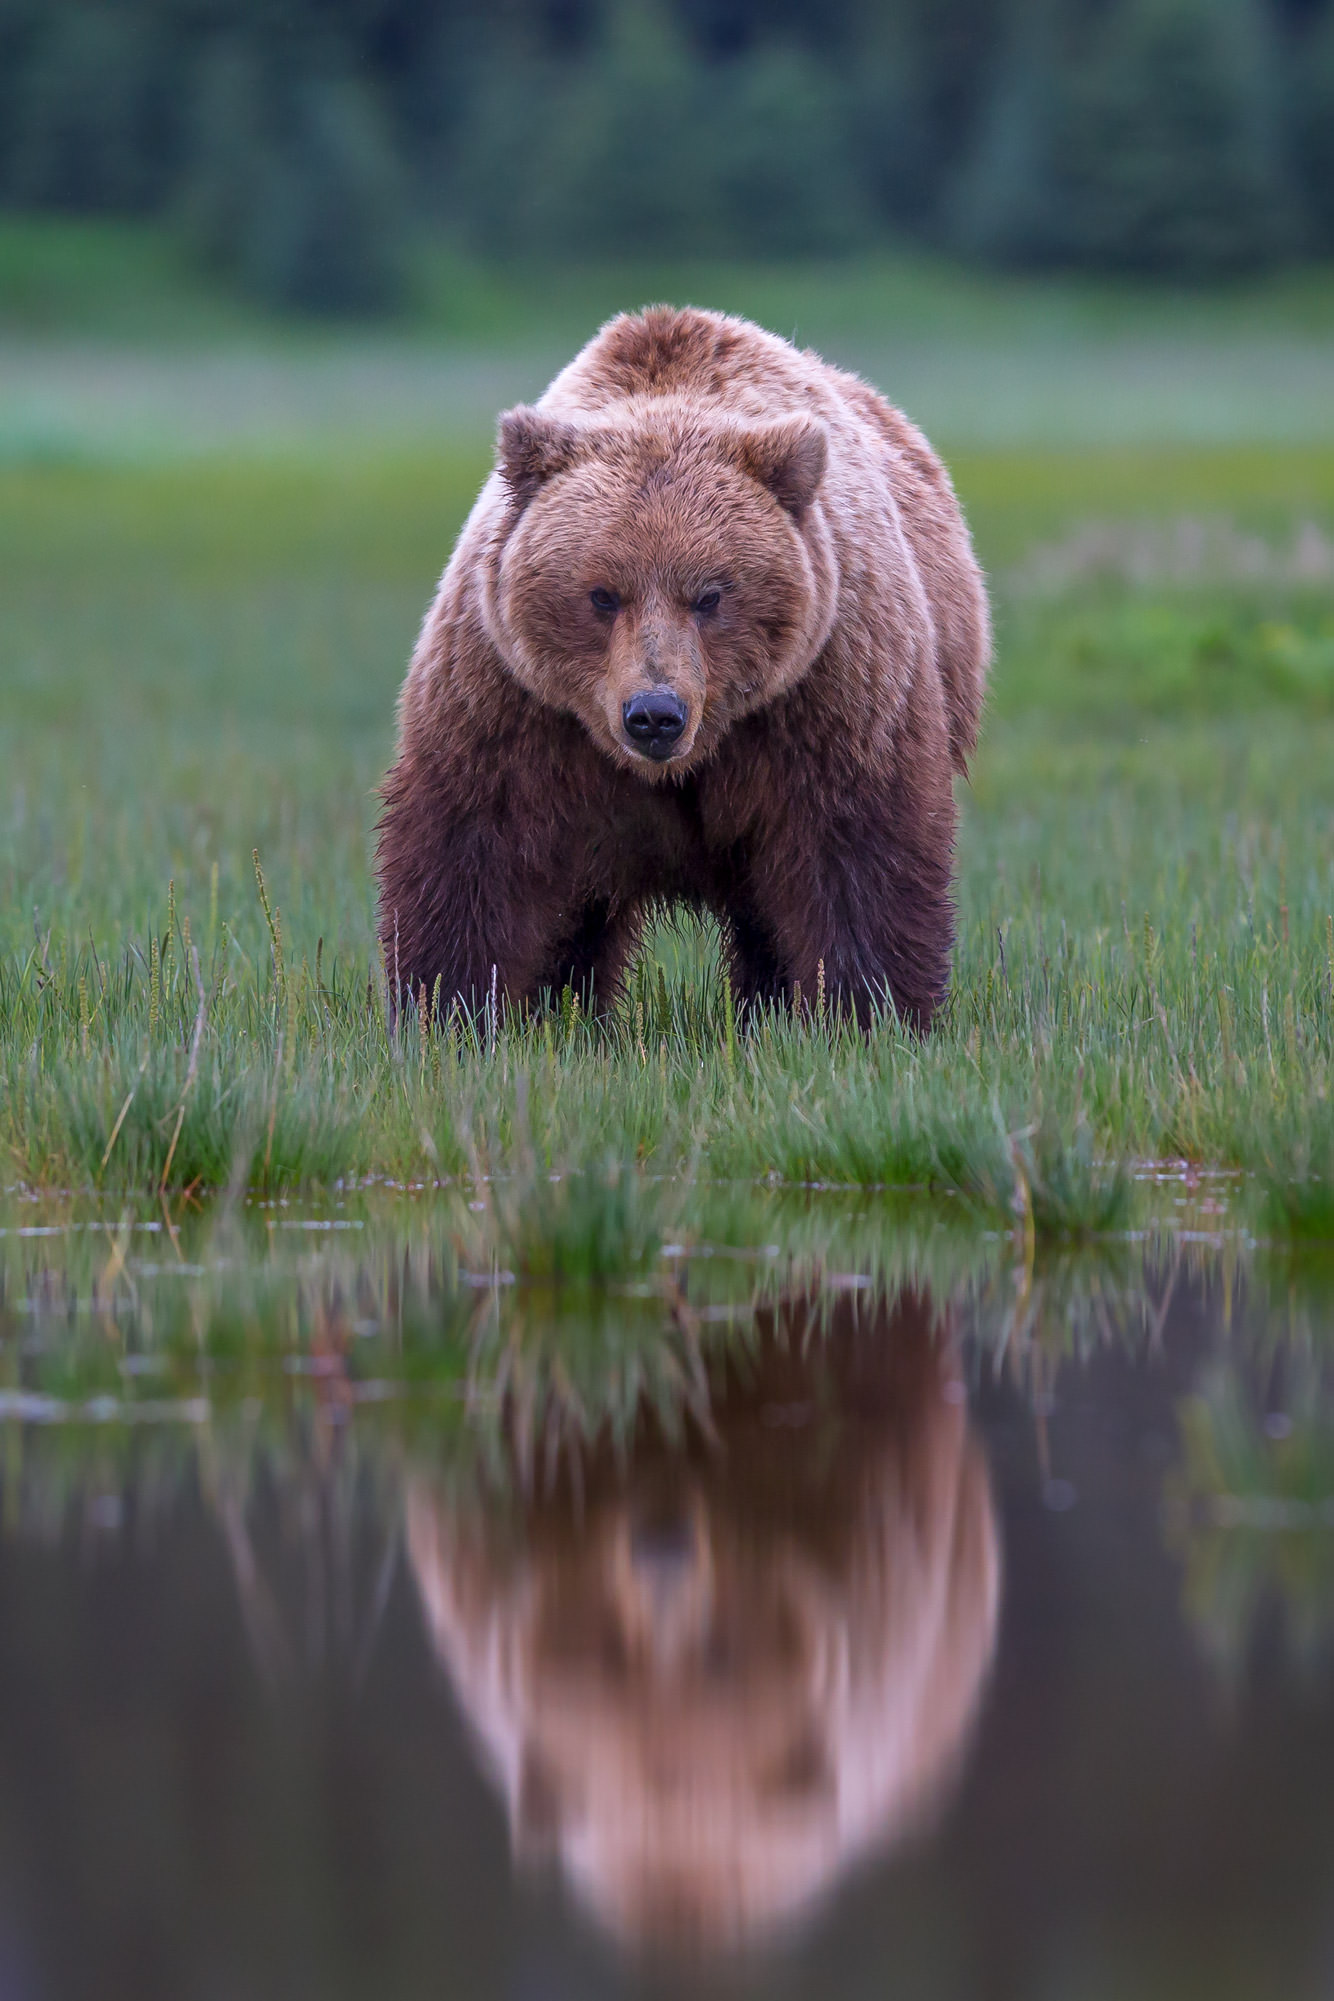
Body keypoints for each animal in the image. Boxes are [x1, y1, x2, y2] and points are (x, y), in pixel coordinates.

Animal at [377, 306, 990, 1030]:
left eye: (711, 594)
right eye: (601, 594)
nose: (654, 714)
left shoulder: (825, 690)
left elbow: (855, 849)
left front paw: (867, 1012)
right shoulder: (513, 698)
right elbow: (474, 849)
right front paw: (451, 1010)